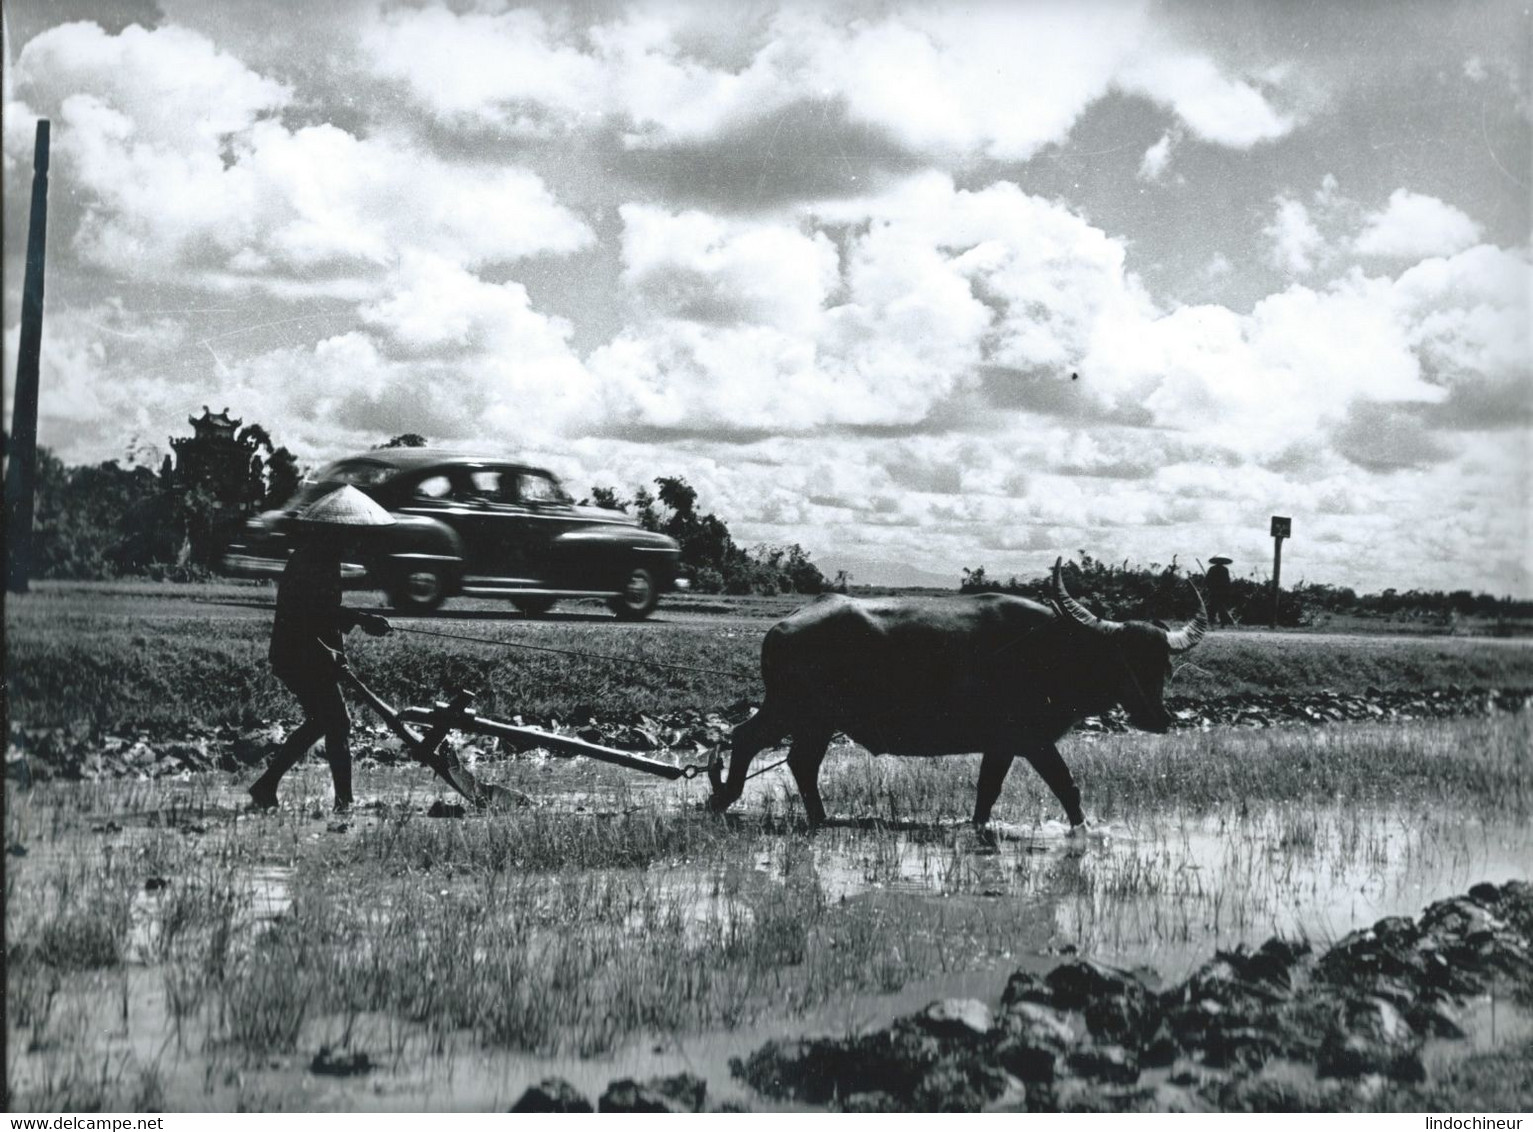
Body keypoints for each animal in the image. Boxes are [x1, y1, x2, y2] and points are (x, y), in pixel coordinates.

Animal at [708, 561, 1208, 822]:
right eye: (1123, 660)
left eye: (1163, 664)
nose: (1159, 718)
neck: (1054, 651)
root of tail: (784, 624)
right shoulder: (1028, 740)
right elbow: (1066, 788)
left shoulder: (1002, 745)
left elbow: (988, 794)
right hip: (799, 711)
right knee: (752, 740)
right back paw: (729, 798)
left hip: (812, 718)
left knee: (794, 759)